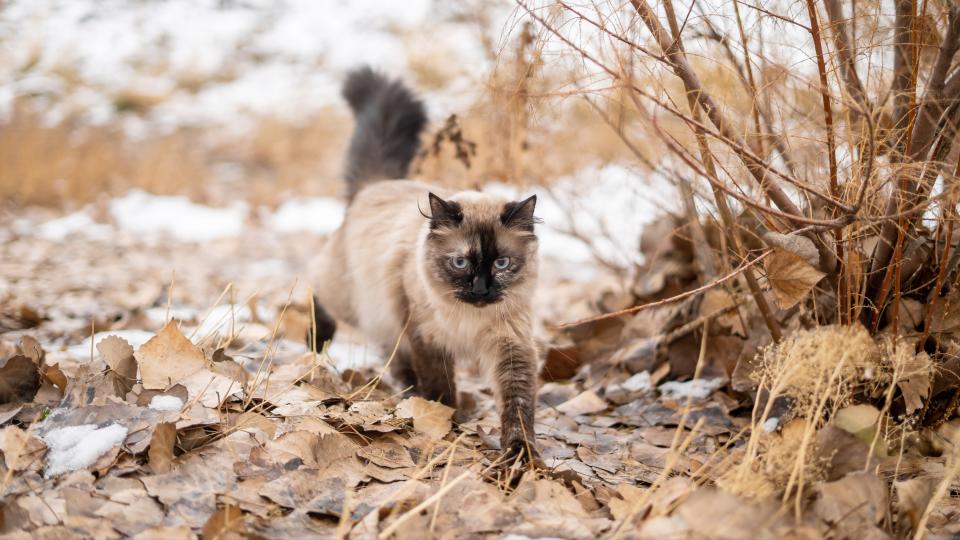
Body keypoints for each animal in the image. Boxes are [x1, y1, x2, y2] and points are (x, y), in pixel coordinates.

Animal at [312, 65, 544, 458]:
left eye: (501, 264)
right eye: (461, 263)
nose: (481, 290)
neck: (469, 321)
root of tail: (374, 186)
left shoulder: (510, 345)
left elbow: (517, 404)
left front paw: (519, 453)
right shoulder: (428, 337)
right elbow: (441, 389)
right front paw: (444, 421)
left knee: (395, 359)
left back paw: (407, 391)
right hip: (349, 298)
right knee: (313, 287)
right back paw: (316, 343)